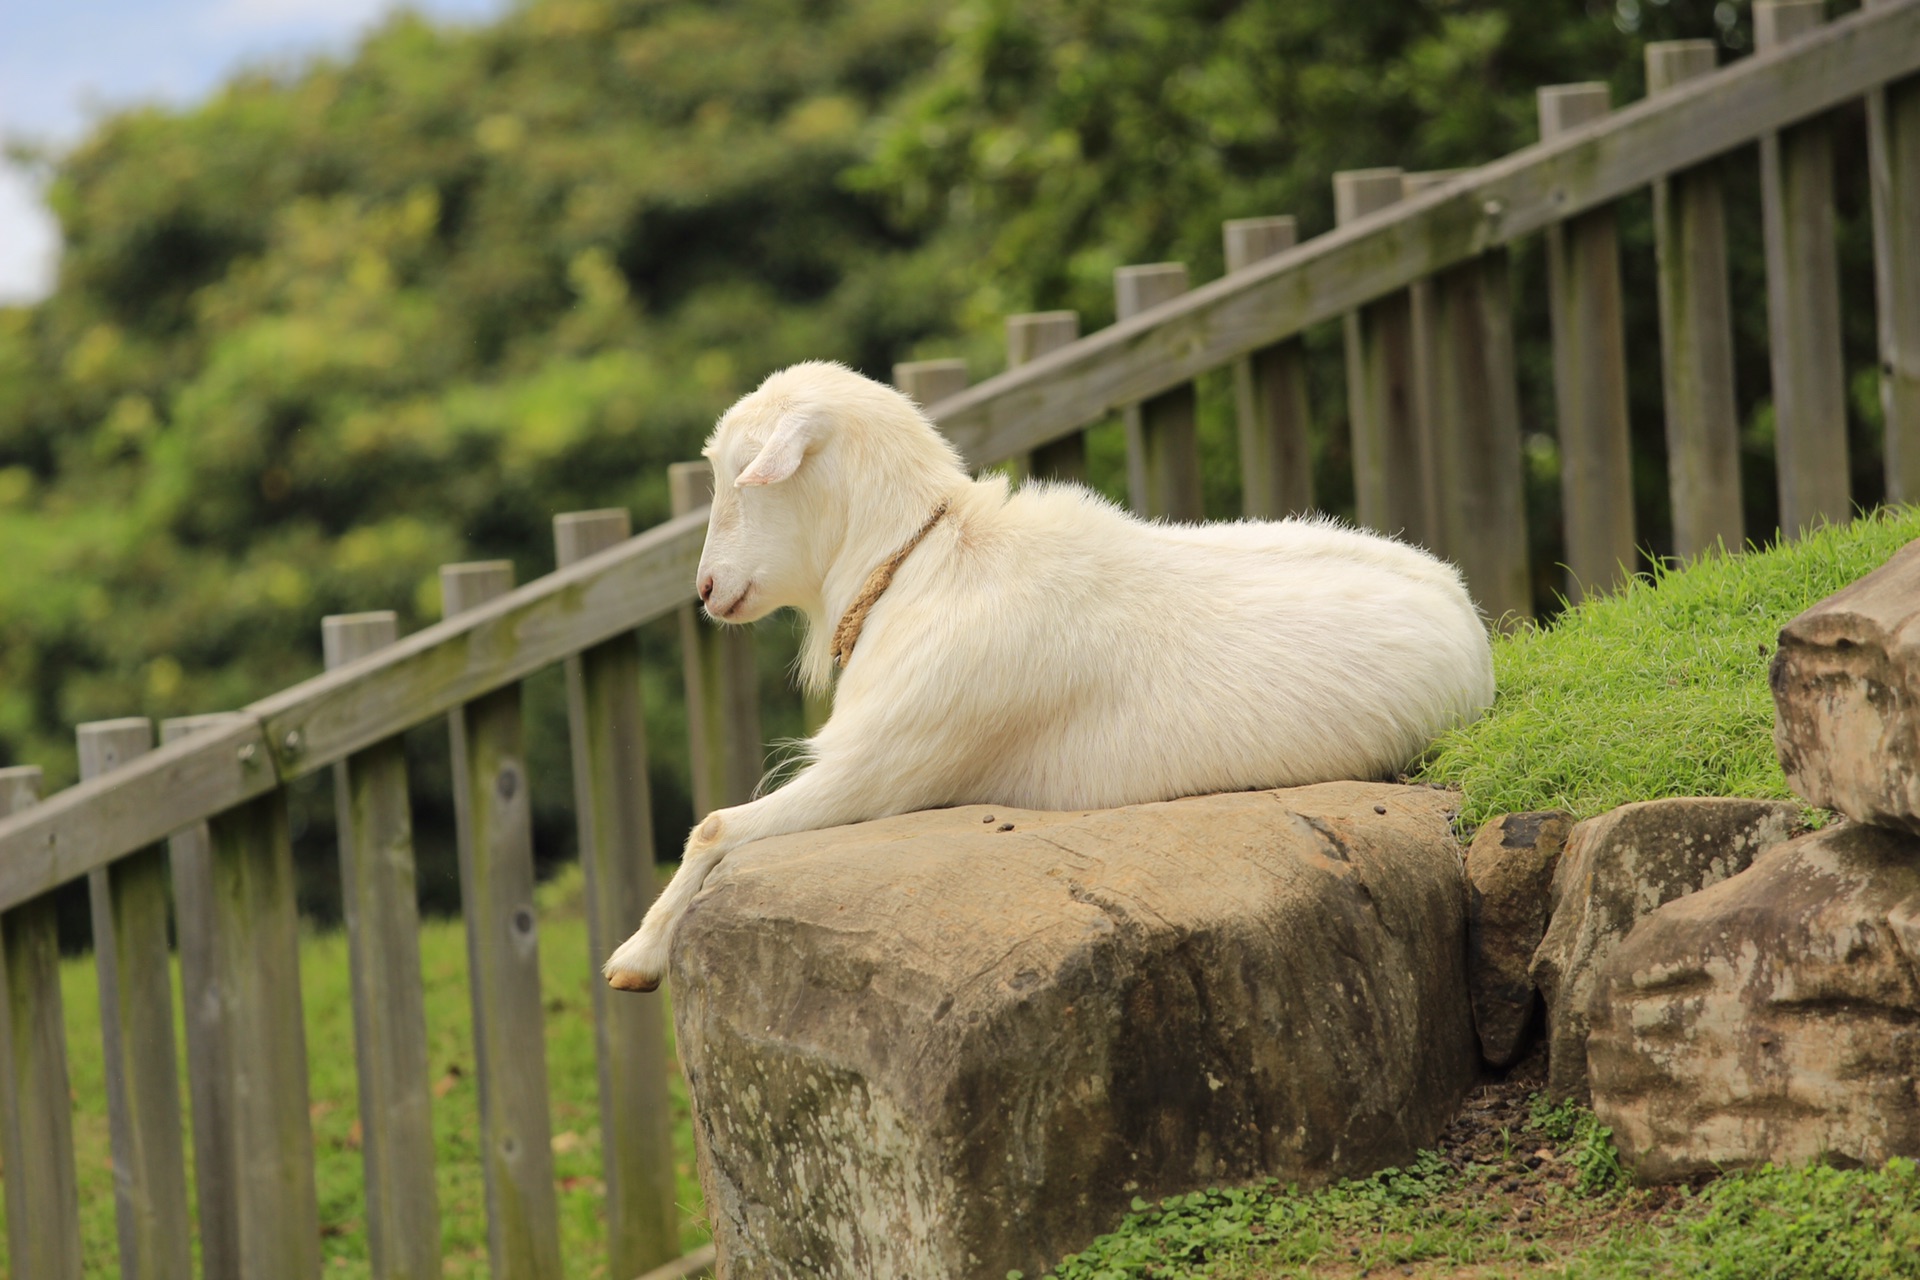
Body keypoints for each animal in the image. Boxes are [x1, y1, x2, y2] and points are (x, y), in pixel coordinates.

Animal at [606, 360, 1489, 990]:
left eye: (744, 474)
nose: (708, 590)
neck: (922, 565)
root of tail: (1468, 611)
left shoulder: (884, 771)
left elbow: (715, 827)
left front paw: (636, 957)